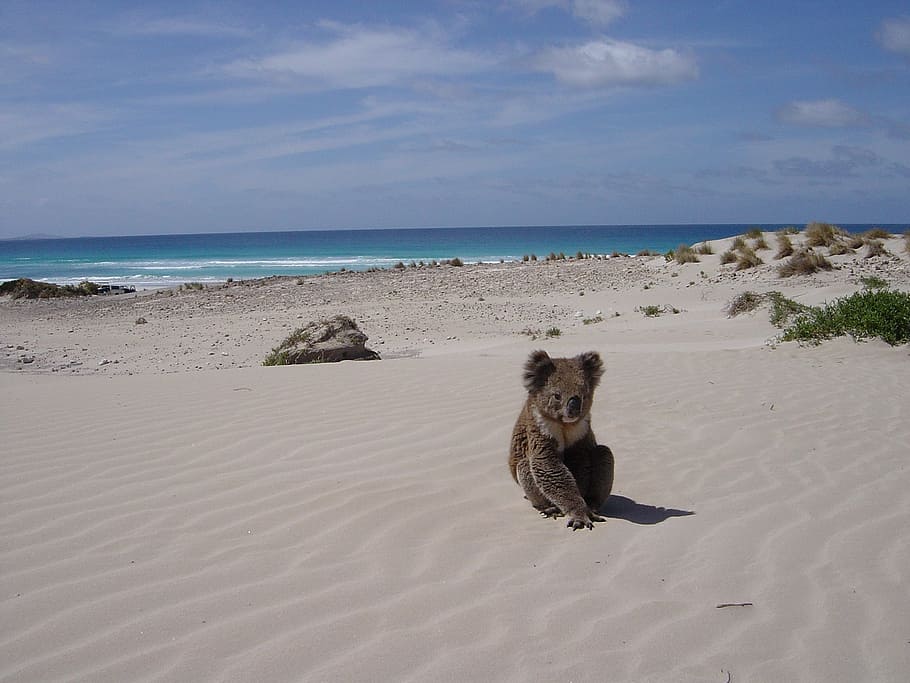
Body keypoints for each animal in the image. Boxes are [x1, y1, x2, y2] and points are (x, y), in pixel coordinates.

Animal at [508, 350, 614, 530]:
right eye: (557, 396)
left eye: (584, 395)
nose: (574, 410)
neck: (564, 424)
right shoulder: (540, 427)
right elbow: (547, 465)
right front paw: (580, 514)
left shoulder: (581, 432)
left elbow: (580, 463)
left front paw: (584, 508)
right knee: (525, 466)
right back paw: (549, 509)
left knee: (604, 452)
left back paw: (593, 504)